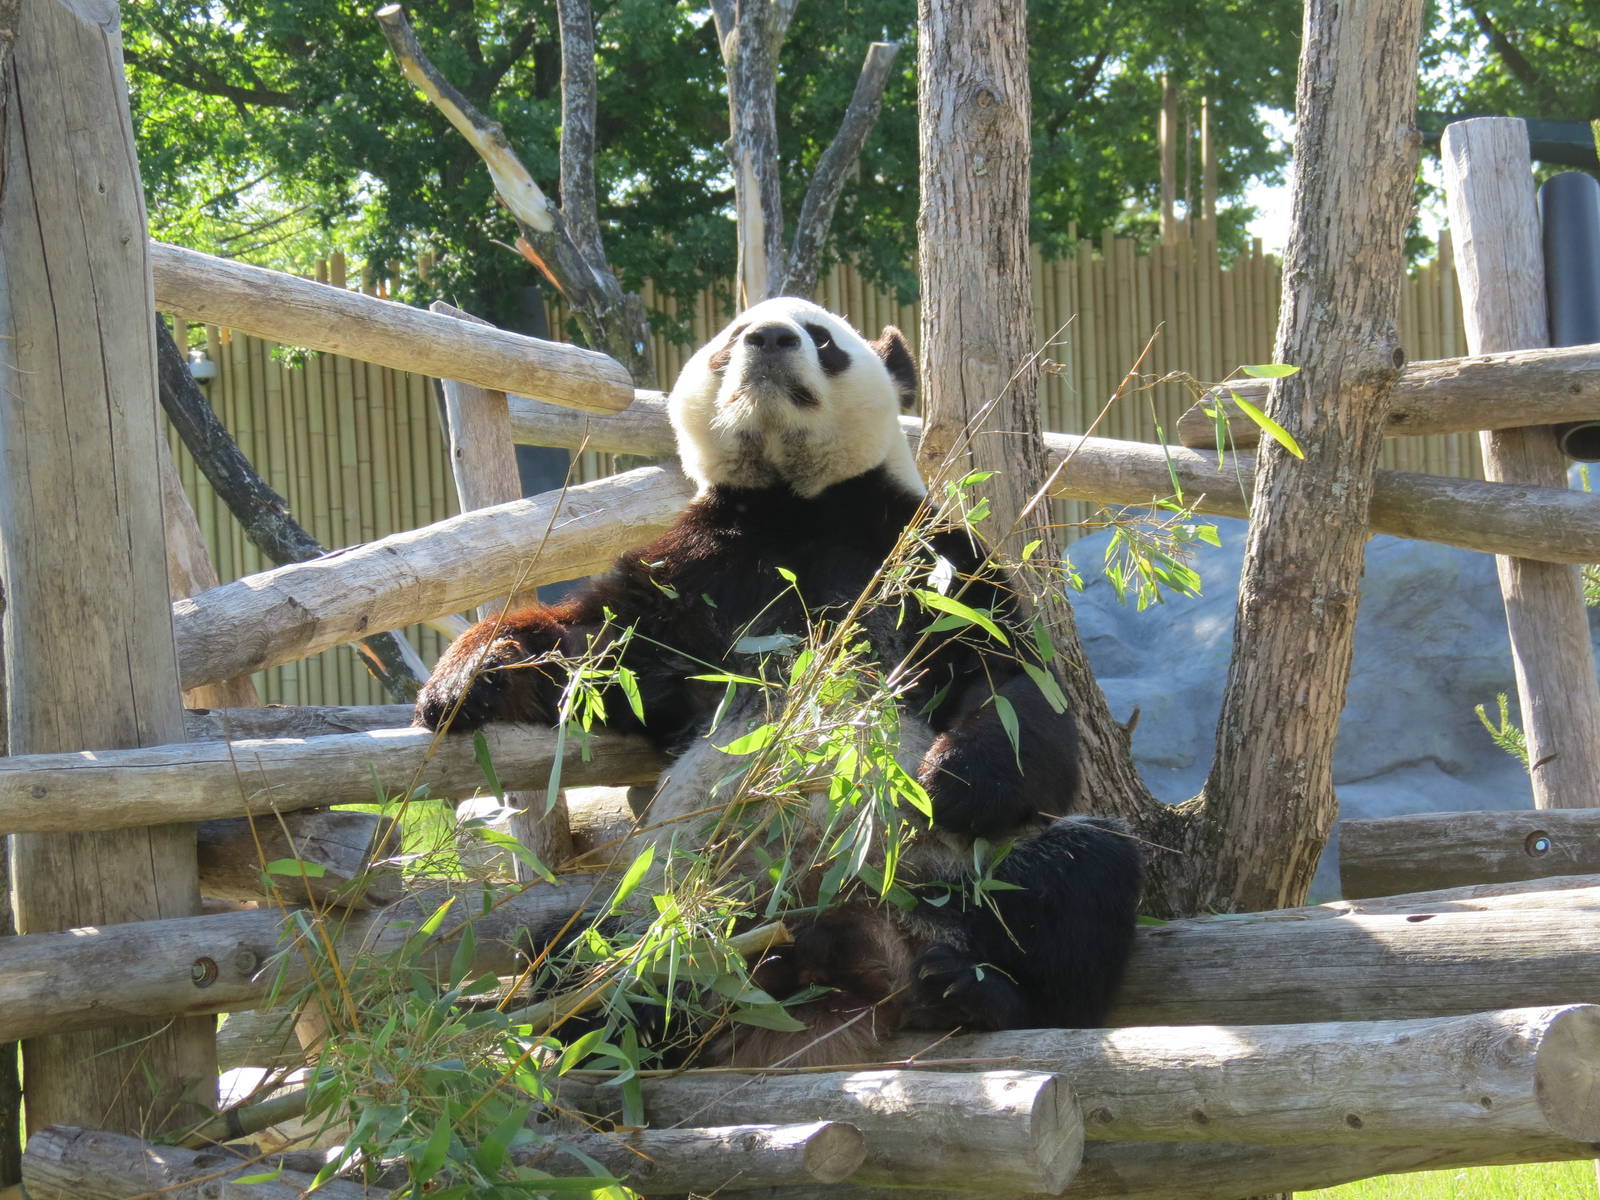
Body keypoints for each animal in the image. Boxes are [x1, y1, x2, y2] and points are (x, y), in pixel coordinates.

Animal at [414, 297, 1143, 1065]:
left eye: (822, 340)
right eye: (733, 336)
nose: (768, 338)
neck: (795, 505)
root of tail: (844, 965)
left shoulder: (928, 557)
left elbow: (1010, 679)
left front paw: (950, 779)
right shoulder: (692, 575)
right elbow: (593, 655)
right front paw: (466, 678)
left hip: (948, 878)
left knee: (1079, 874)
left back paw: (977, 991)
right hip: (670, 900)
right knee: (580, 942)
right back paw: (613, 1010)